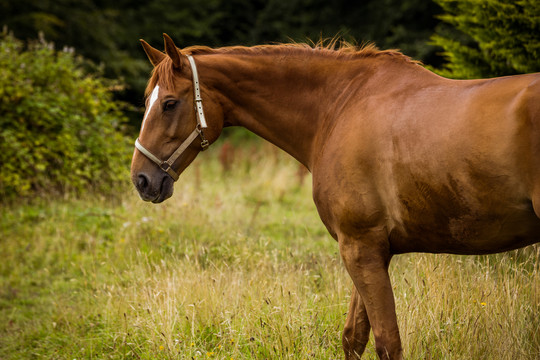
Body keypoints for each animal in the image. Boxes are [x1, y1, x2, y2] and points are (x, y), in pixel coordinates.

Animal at [130, 33, 540, 358]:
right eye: (147, 100)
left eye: (169, 103)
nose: (141, 179)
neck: (339, 107)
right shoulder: (371, 249)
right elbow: (353, 338)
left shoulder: (359, 248)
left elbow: (387, 342)